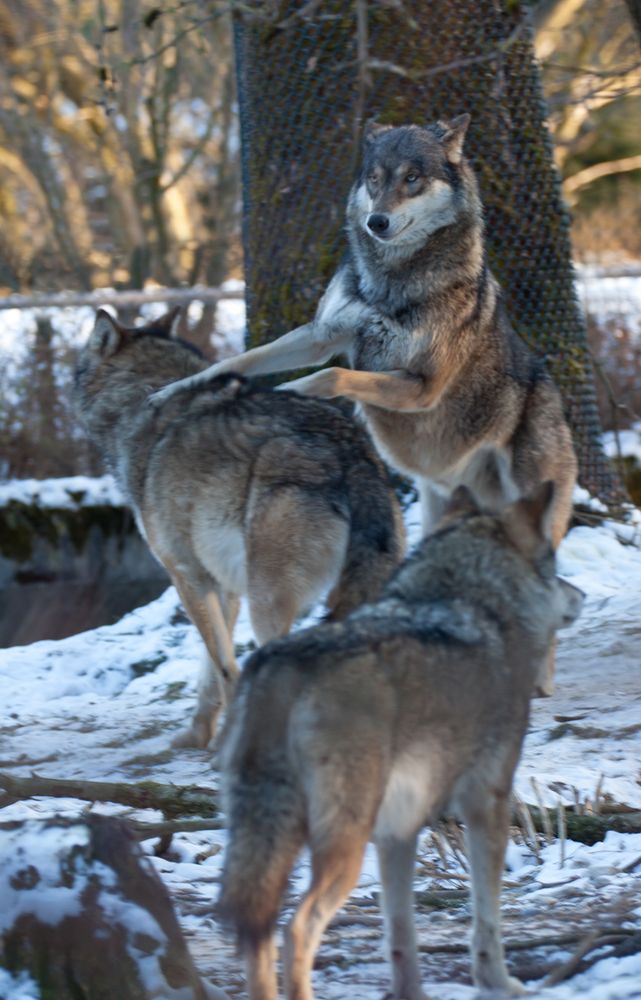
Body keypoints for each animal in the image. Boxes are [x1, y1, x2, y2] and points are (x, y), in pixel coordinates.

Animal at [74, 308, 400, 748]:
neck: (139, 400)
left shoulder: (188, 576)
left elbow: (223, 663)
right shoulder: (224, 585)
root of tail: (351, 456)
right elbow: (209, 673)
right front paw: (197, 736)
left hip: (266, 604)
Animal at [150, 115, 576, 696]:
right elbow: (237, 361)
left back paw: (541, 679)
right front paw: (175, 391)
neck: (392, 281)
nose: (377, 222)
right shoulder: (320, 334)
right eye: (376, 178)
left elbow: (332, 376)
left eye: (413, 179)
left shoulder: (420, 386)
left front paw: (287, 395)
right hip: (441, 514)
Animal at [216, 456, 584, 1000]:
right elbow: (487, 915)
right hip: (342, 847)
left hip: (274, 839)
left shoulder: (398, 829)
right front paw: (499, 982)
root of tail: (282, 666)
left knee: (258, 934)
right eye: (556, 568)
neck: (473, 602)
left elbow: (401, 930)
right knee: (297, 929)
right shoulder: (488, 801)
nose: (581, 595)